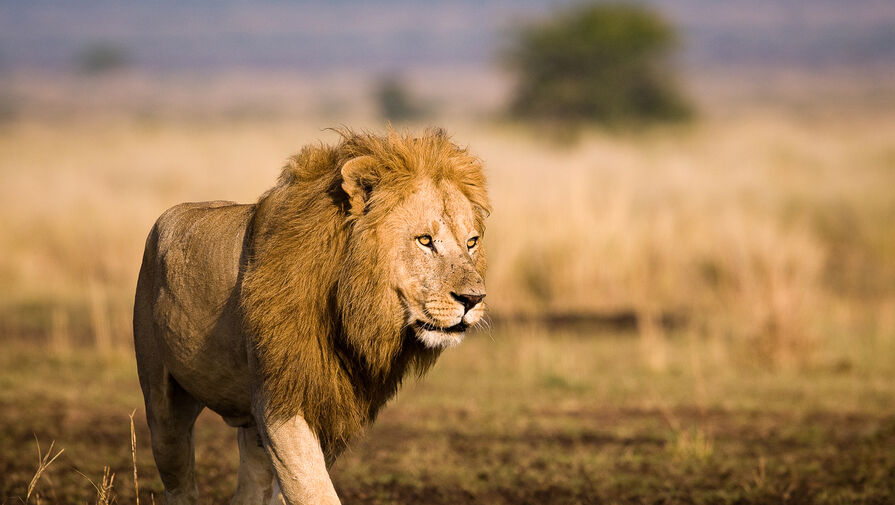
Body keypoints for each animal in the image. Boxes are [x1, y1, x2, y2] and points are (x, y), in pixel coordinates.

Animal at [131, 129, 490, 504]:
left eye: (471, 242)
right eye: (424, 240)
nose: (473, 299)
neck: (350, 313)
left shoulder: (331, 402)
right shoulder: (279, 397)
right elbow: (312, 488)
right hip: (162, 401)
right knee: (178, 475)